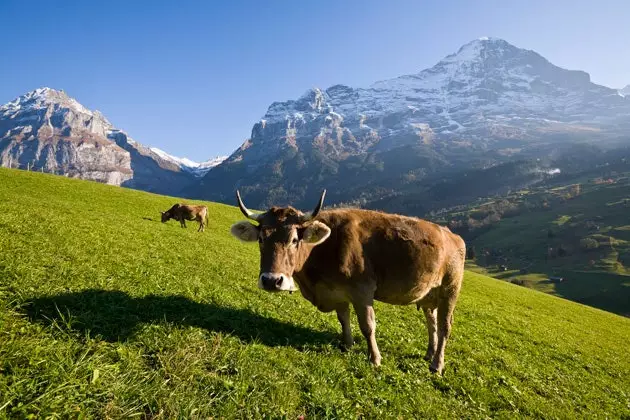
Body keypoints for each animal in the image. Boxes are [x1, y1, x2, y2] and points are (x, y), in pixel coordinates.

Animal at [231, 190, 464, 374]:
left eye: (294, 240)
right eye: (261, 239)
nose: (271, 281)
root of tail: (452, 235)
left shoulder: (363, 290)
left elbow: (368, 326)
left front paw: (375, 359)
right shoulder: (337, 291)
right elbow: (343, 318)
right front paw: (348, 345)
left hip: (450, 289)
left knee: (444, 327)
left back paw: (436, 365)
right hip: (429, 295)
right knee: (432, 324)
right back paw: (429, 354)